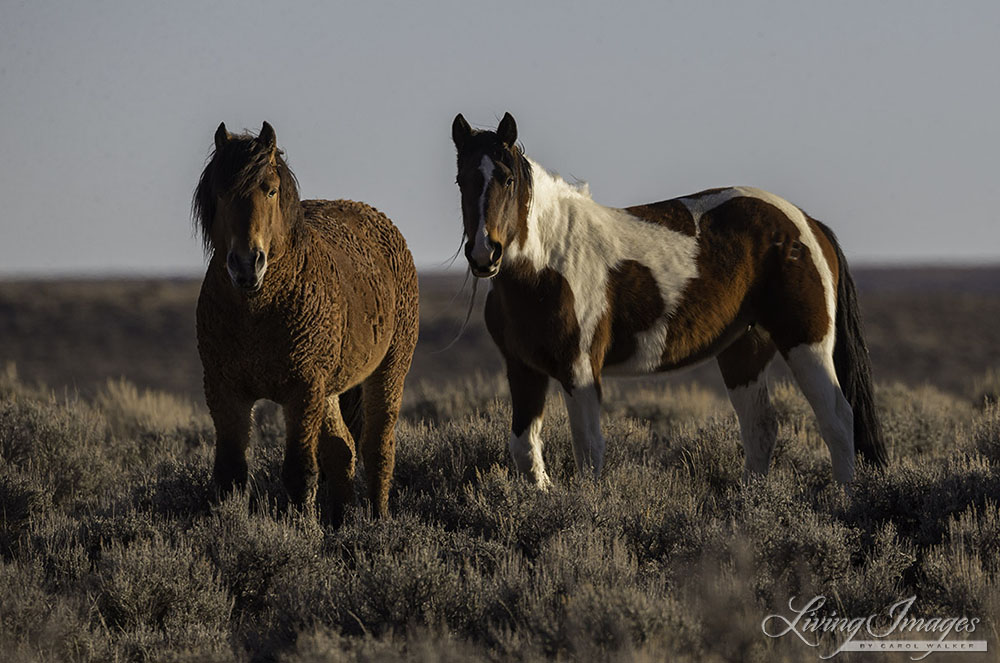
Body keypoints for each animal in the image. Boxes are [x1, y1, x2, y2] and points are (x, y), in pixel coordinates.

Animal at [193, 120, 420, 524]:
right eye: (220, 191)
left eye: (270, 189)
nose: (246, 264)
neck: (257, 313)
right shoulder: (225, 391)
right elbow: (230, 475)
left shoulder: (302, 390)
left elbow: (300, 472)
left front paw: (301, 529)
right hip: (329, 391)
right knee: (343, 450)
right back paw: (340, 522)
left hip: (389, 370)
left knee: (377, 446)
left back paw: (379, 520)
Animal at [450, 113, 888, 488]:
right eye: (460, 180)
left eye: (508, 179)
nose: (484, 254)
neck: (550, 262)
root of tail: (806, 223)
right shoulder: (523, 369)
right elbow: (525, 450)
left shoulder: (580, 370)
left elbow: (588, 451)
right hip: (744, 349)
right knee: (760, 428)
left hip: (806, 343)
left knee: (837, 420)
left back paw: (843, 501)